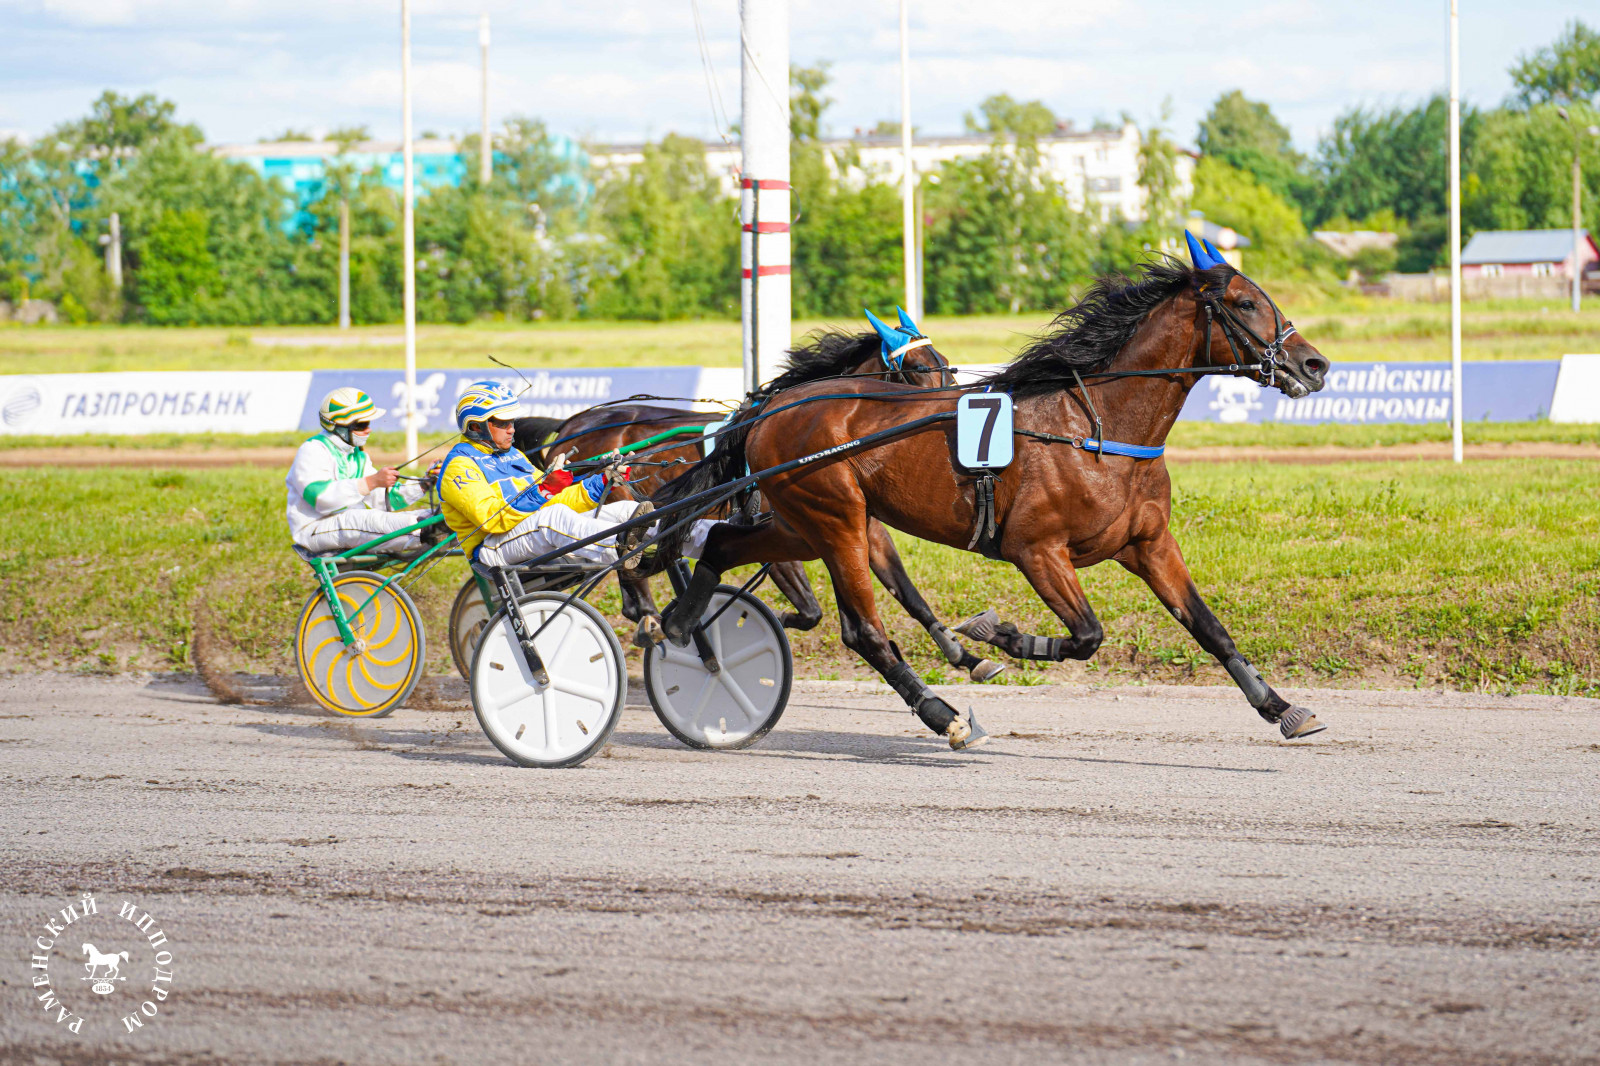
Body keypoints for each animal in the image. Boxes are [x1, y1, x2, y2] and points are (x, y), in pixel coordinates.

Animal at [521, 315, 998, 675]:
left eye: (946, 363)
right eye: (916, 367)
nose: (950, 409)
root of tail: (573, 423)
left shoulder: (864, 525)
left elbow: (909, 595)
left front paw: (966, 655)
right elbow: (810, 610)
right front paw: (775, 620)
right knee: (627, 568)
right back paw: (645, 615)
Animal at [656, 249, 1331, 745]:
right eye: (1246, 302)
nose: (1316, 364)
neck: (1098, 425)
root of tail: (771, 406)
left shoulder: (1147, 543)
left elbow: (1211, 629)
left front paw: (1281, 707)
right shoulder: (1036, 550)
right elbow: (1087, 635)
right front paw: (999, 634)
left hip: (805, 521)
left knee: (723, 542)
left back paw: (681, 627)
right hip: (836, 518)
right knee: (864, 632)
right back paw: (943, 715)